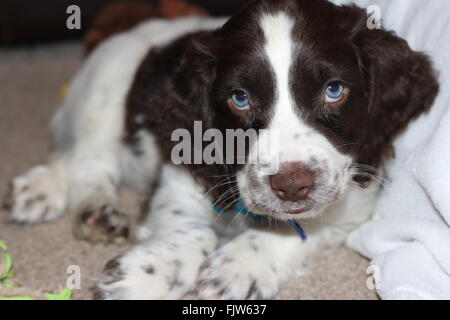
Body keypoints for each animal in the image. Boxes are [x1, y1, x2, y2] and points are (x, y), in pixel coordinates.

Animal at [4, 0, 440, 300]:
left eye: (334, 91)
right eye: (240, 99)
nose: (292, 185)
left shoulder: (354, 199)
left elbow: (303, 230)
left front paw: (237, 267)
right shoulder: (182, 172)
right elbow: (193, 230)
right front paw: (142, 275)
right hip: (104, 96)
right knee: (84, 162)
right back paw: (60, 198)